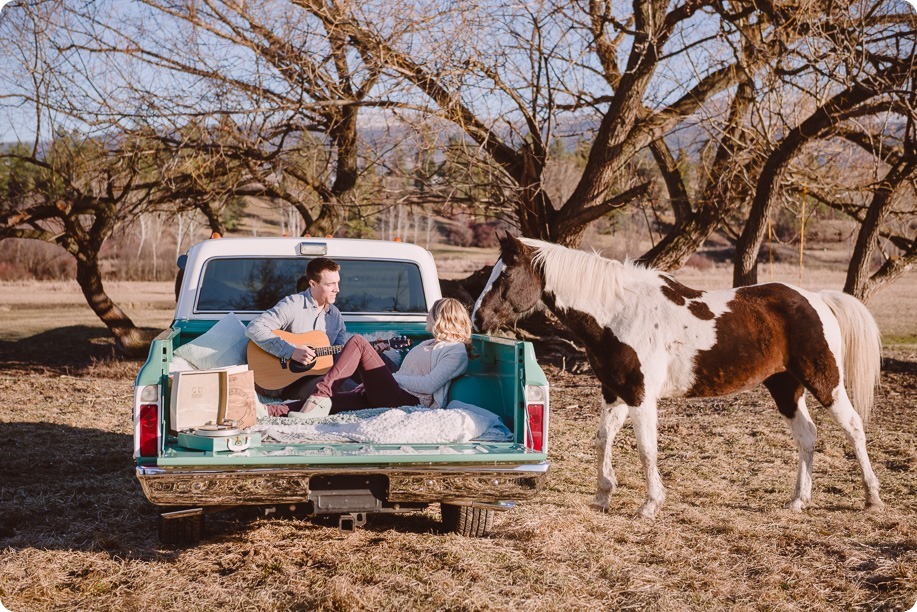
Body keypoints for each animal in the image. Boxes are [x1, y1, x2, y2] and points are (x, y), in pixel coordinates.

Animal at [472, 234, 880, 516]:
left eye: (504, 275)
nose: (478, 318)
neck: (618, 312)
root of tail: (818, 299)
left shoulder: (640, 395)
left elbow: (646, 448)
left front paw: (650, 505)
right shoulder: (614, 391)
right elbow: (602, 439)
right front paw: (603, 495)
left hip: (825, 382)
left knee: (854, 427)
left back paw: (872, 497)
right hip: (784, 387)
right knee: (807, 436)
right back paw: (798, 500)